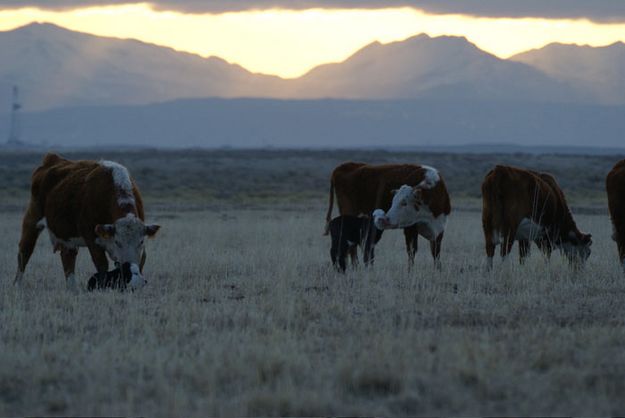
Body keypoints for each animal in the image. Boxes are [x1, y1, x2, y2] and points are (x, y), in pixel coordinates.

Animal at [15, 153, 161, 290]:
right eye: (117, 242)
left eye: (141, 242)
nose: (128, 263)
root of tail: (52, 159)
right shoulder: (91, 238)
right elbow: (102, 265)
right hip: (32, 220)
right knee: (25, 251)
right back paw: (17, 284)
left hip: (68, 239)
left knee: (68, 259)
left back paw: (72, 289)